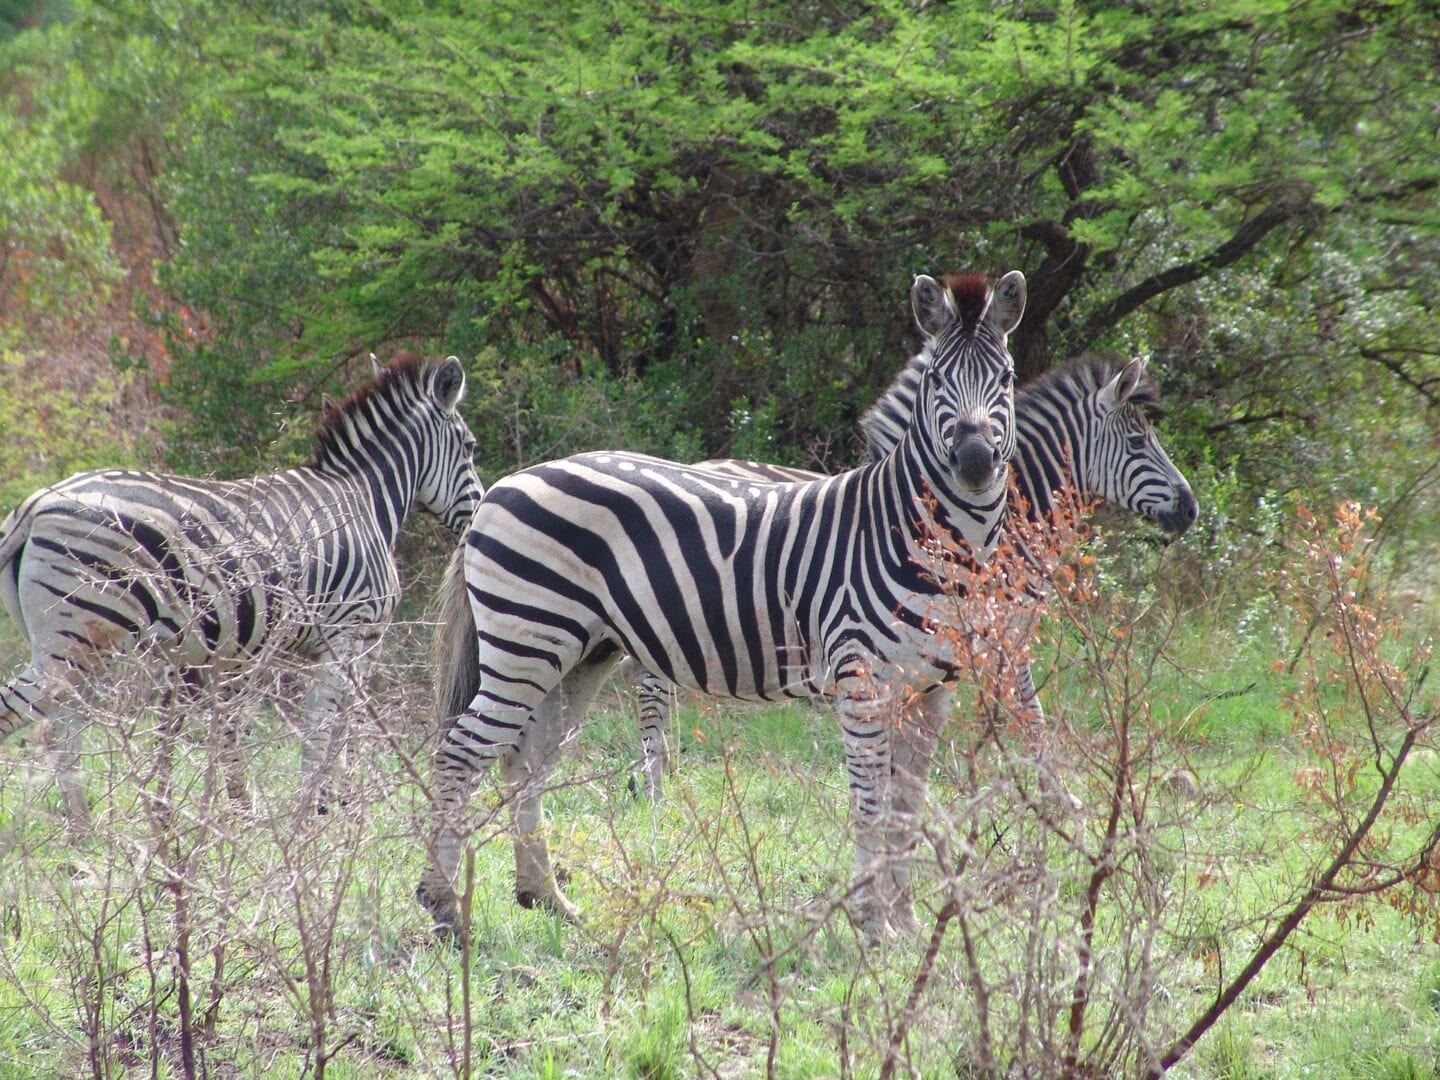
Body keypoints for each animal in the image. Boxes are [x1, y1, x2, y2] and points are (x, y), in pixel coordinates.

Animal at [0, 352, 483, 817]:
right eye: (471, 446)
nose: (477, 514)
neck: (364, 497)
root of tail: (35, 504)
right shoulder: (351, 635)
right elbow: (329, 730)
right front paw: (319, 813)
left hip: (71, 644)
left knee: (65, 732)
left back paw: (83, 828)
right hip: (77, 637)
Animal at [420, 272, 1031, 944]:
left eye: (1006, 377)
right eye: (936, 381)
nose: (974, 462)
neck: (929, 537)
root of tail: (503, 486)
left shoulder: (932, 689)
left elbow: (907, 806)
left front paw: (907, 923)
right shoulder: (862, 679)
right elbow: (870, 803)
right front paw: (873, 925)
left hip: (581, 652)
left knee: (525, 757)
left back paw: (546, 897)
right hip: (526, 640)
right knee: (461, 752)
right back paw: (443, 905)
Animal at [624, 355, 1198, 806]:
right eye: (1138, 441)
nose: (1191, 509)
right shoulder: (998, 629)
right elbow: (1029, 712)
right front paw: (1057, 796)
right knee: (650, 683)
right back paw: (653, 786)